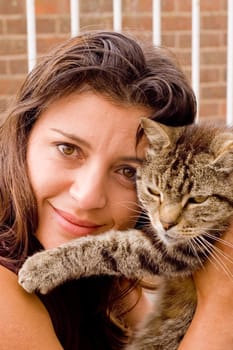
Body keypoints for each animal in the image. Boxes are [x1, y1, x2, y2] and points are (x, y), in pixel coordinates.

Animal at [18, 119, 233, 348]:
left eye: (198, 200)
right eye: (153, 191)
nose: (166, 224)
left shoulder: (181, 250)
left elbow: (110, 248)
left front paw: (41, 266)